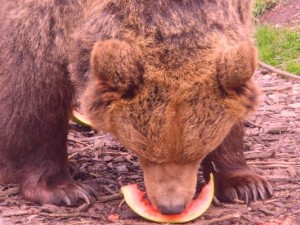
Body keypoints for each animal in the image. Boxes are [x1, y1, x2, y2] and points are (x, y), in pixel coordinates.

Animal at [0, 0, 272, 214]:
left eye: (196, 154)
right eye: (147, 154)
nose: (171, 207)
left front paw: (246, 184)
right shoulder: (42, 19)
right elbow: (34, 91)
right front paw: (64, 190)